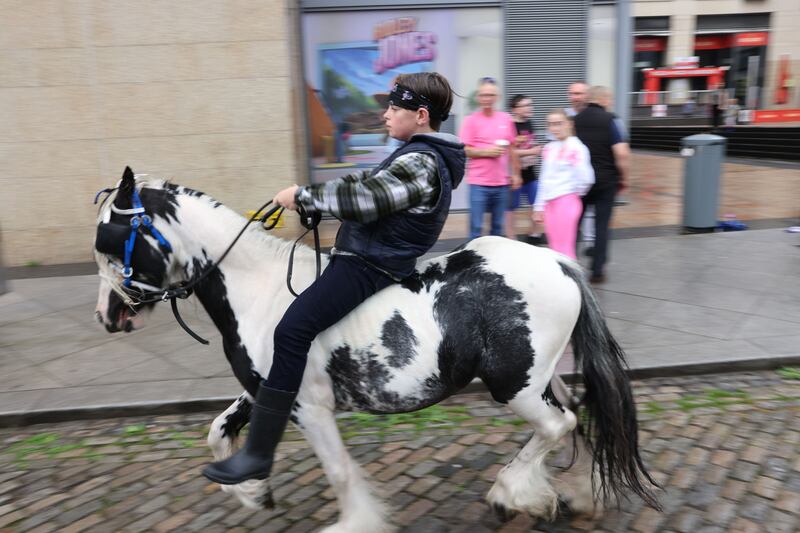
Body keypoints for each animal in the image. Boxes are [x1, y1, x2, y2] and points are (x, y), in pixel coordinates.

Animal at [94, 168, 660, 528]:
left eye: (111, 240)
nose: (108, 315)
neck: (256, 291)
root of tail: (560, 263)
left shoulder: (308, 406)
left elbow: (340, 472)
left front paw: (352, 523)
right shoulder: (266, 389)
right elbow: (220, 432)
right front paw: (251, 490)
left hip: (514, 386)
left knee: (559, 424)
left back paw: (511, 496)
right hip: (539, 376)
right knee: (578, 414)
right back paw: (573, 496)